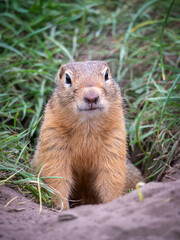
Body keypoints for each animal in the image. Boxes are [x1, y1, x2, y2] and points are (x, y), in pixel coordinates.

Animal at [32, 61, 142, 209]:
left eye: (106, 75)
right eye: (67, 78)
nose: (91, 97)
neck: (87, 126)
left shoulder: (114, 141)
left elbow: (111, 177)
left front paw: (112, 202)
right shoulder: (54, 138)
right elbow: (57, 176)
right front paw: (62, 206)